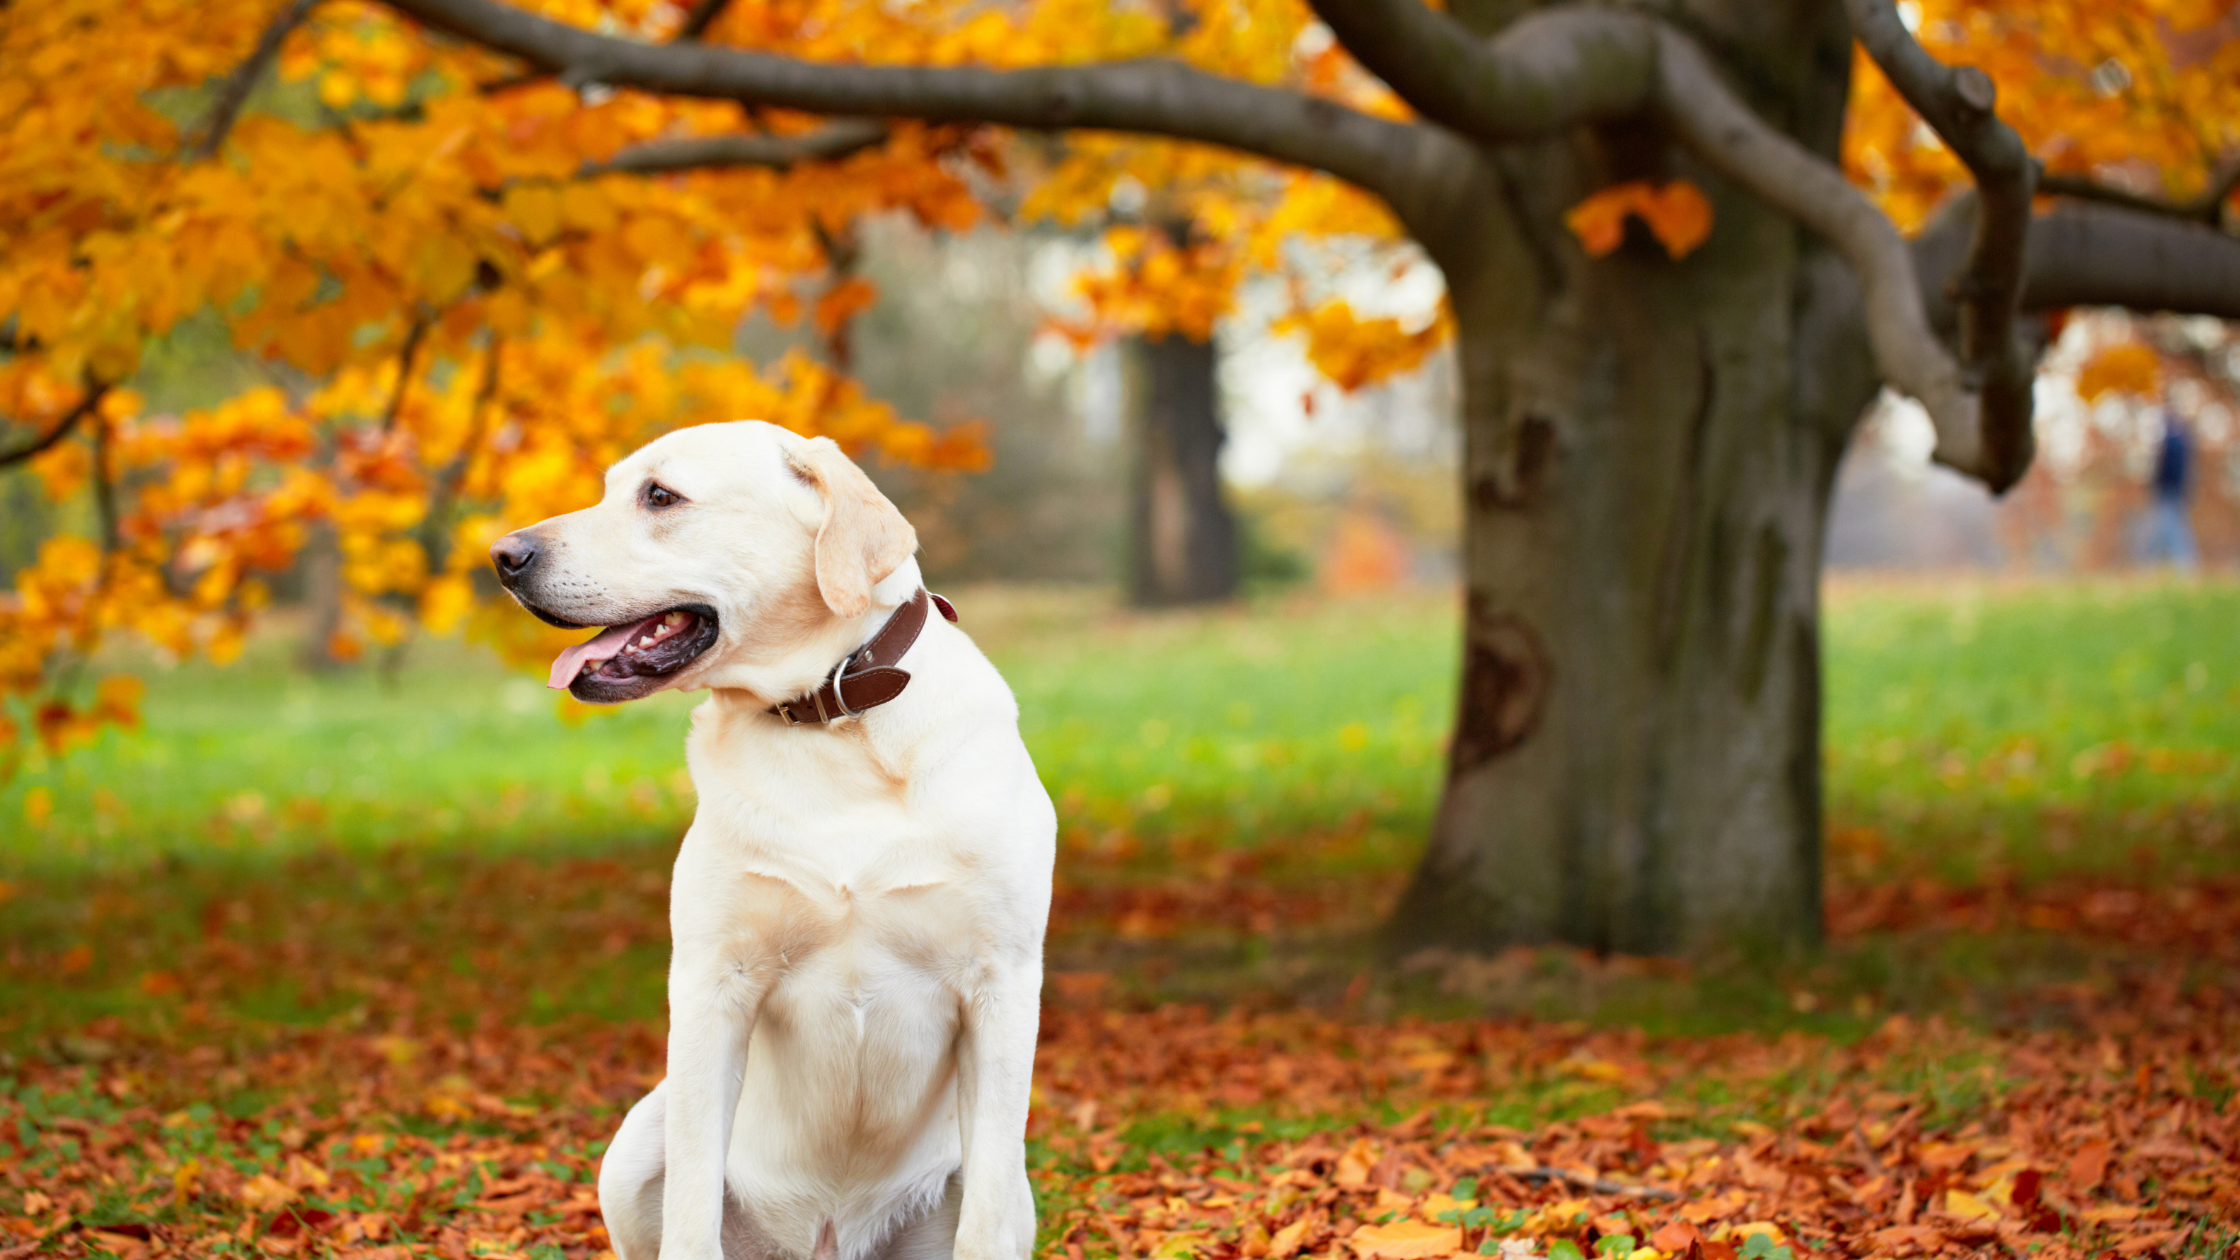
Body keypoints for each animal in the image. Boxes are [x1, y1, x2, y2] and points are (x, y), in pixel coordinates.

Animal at [490, 419, 1048, 1255]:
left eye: (661, 496)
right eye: (608, 488)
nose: (503, 555)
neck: (831, 721)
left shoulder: (1002, 986)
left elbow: (982, 1223)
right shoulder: (711, 984)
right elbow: (691, 1207)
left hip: (1016, 1187)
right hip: (633, 1144)